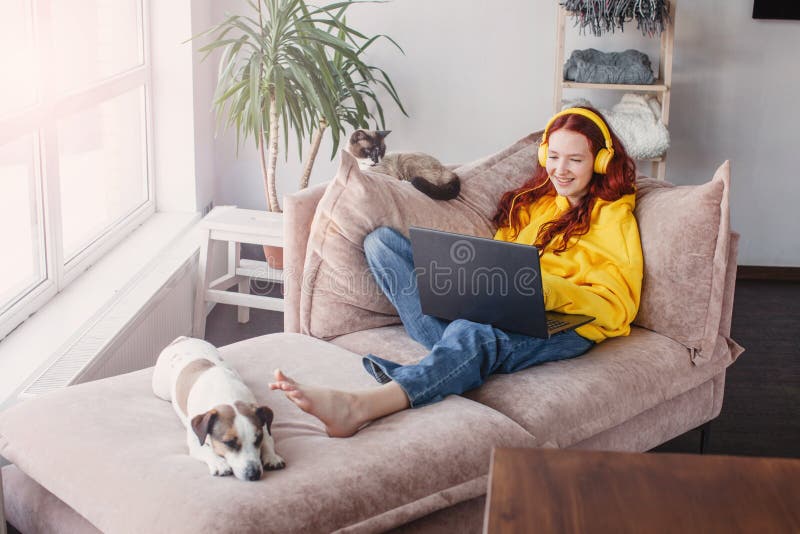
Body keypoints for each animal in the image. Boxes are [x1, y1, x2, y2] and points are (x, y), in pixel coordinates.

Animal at [152, 340, 284, 482]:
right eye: (229, 442)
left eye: (258, 438)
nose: (253, 474)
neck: (228, 395)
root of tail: (182, 339)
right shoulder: (195, 442)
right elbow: (205, 449)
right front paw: (219, 463)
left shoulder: (263, 427)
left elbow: (268, 440)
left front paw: (272, 456)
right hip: (161, 389)